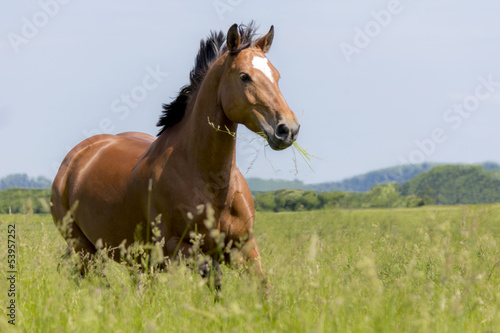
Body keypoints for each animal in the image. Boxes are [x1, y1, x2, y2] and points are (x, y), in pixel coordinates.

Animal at [49, 22, 300, 286]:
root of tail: (76, 157)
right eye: (244, 76)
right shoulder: (179, 248)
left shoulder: (244, 248)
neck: (212, 184)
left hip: (137, 261)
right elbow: (215, 278)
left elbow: (263, 287)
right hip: (85, 251)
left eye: (277, 76)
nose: (287, 129)